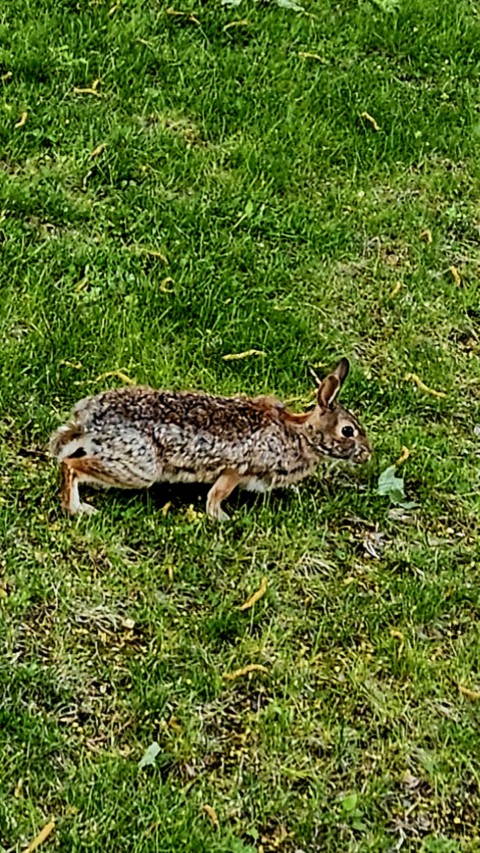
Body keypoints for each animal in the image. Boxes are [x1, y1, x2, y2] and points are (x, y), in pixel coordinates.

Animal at [49, 357, 371, 520]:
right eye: (348, 431)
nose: (367, 454)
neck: (301, 435)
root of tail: (90, 419)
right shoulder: (236, 470)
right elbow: (217, 494)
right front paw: (220, 518)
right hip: (138, 468)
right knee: (70, 465)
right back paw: (78, 509)